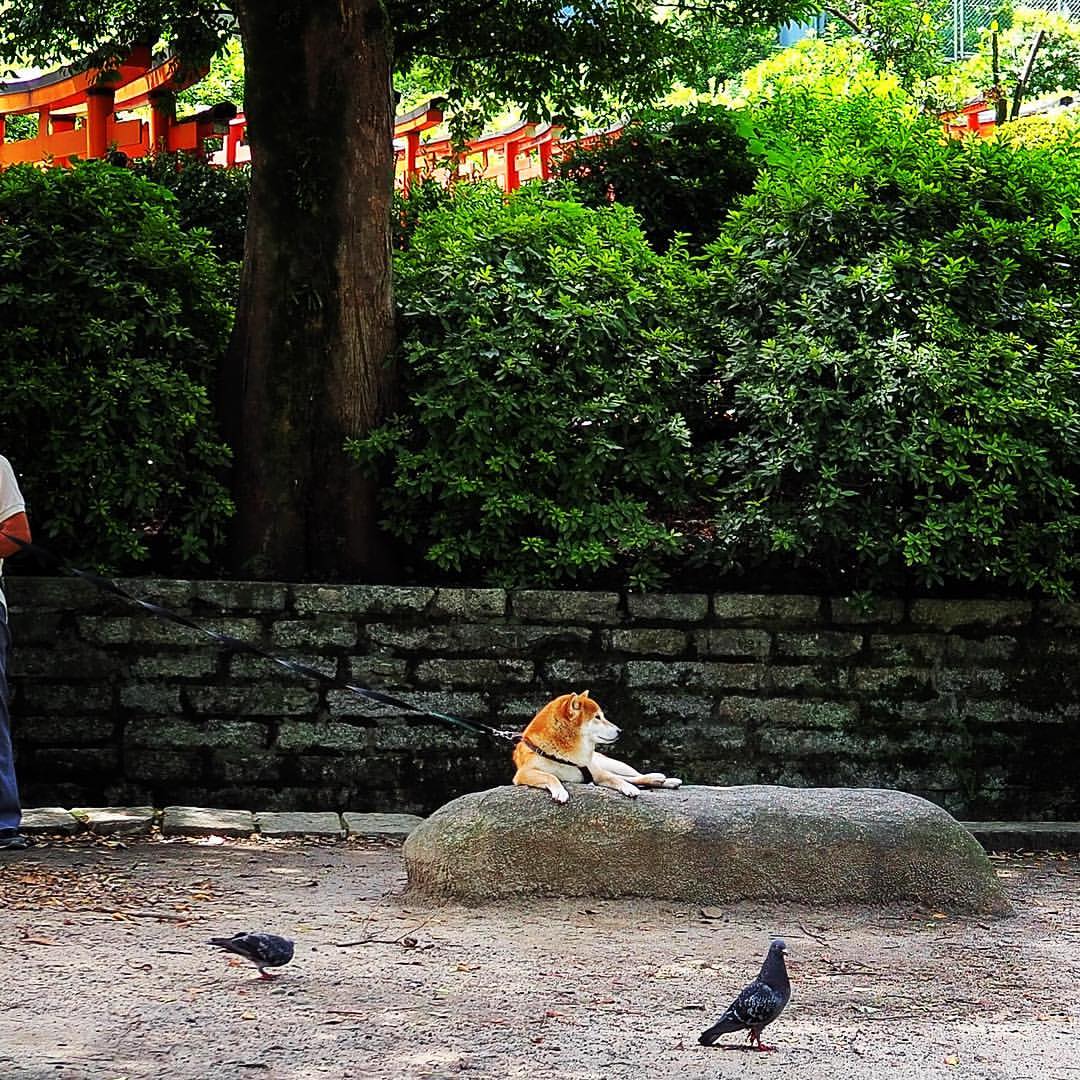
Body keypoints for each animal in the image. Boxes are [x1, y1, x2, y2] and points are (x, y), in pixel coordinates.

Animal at [509, 691, 678, 803]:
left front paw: (629, 788)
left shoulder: (598, 774)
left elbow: (616, 779)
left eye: (602, 716)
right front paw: (560, 791)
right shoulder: (524, 773)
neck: (568, 756)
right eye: (597, 717)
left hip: (610, 764)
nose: (620, 731)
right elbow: (551, 776)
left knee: (631, 776)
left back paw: (663, 779)